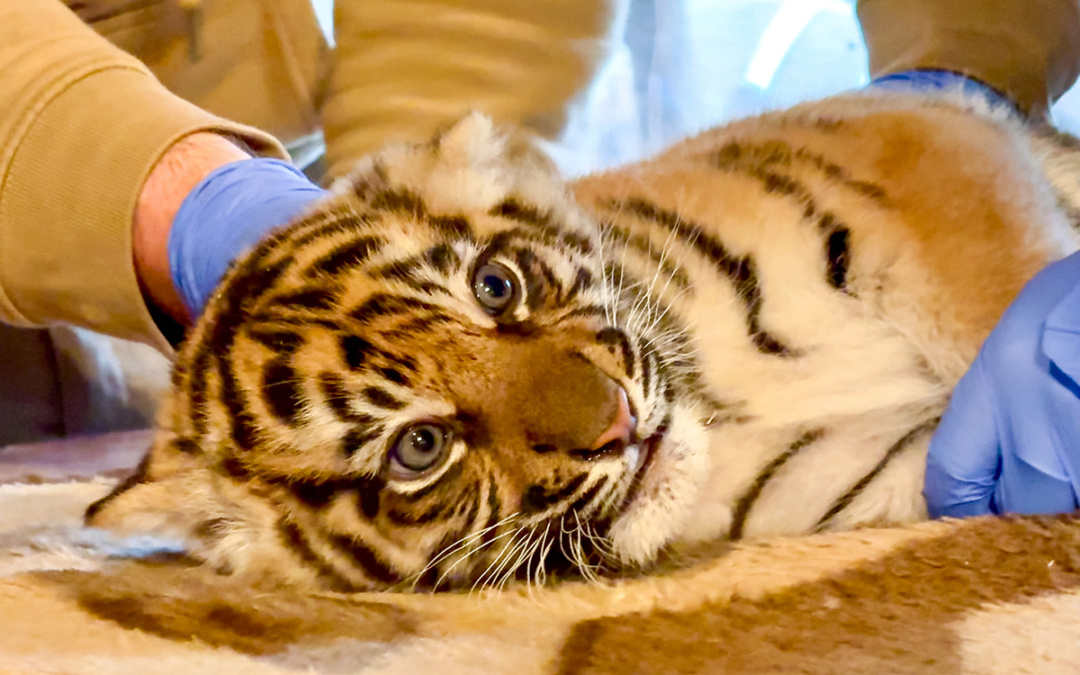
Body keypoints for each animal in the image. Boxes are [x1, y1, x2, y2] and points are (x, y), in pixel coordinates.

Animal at [86, 89, 1080, 592]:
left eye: (496, 286)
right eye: (419, 447)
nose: (619, 424)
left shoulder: (914, 141)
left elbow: (1001, 288)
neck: (727, 402)